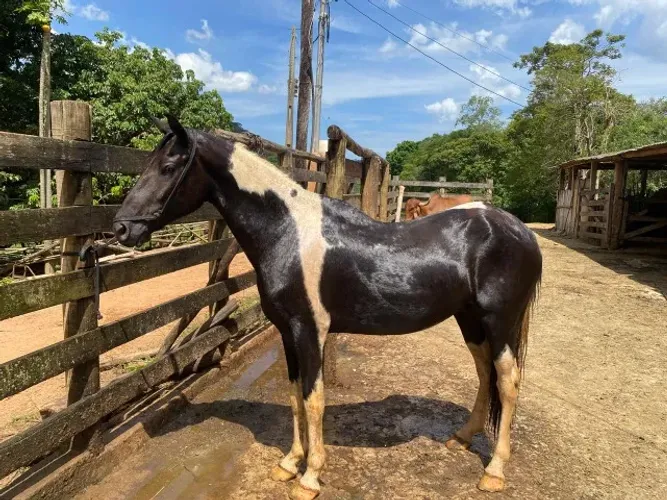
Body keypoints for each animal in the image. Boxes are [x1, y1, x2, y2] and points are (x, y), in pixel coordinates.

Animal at [113, 116, 542, 499]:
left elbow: (314, 399)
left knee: (508, 380)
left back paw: (494, 471)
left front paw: (310, 476)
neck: (288, 233)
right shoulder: (288, 333)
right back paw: (463, 438)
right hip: (470, 319)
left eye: (168, 168)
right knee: (485, 372)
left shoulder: (309, 330)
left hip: (499, 321)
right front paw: (290, 463)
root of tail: (519, 231)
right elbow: (294, 397)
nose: (121, 228)